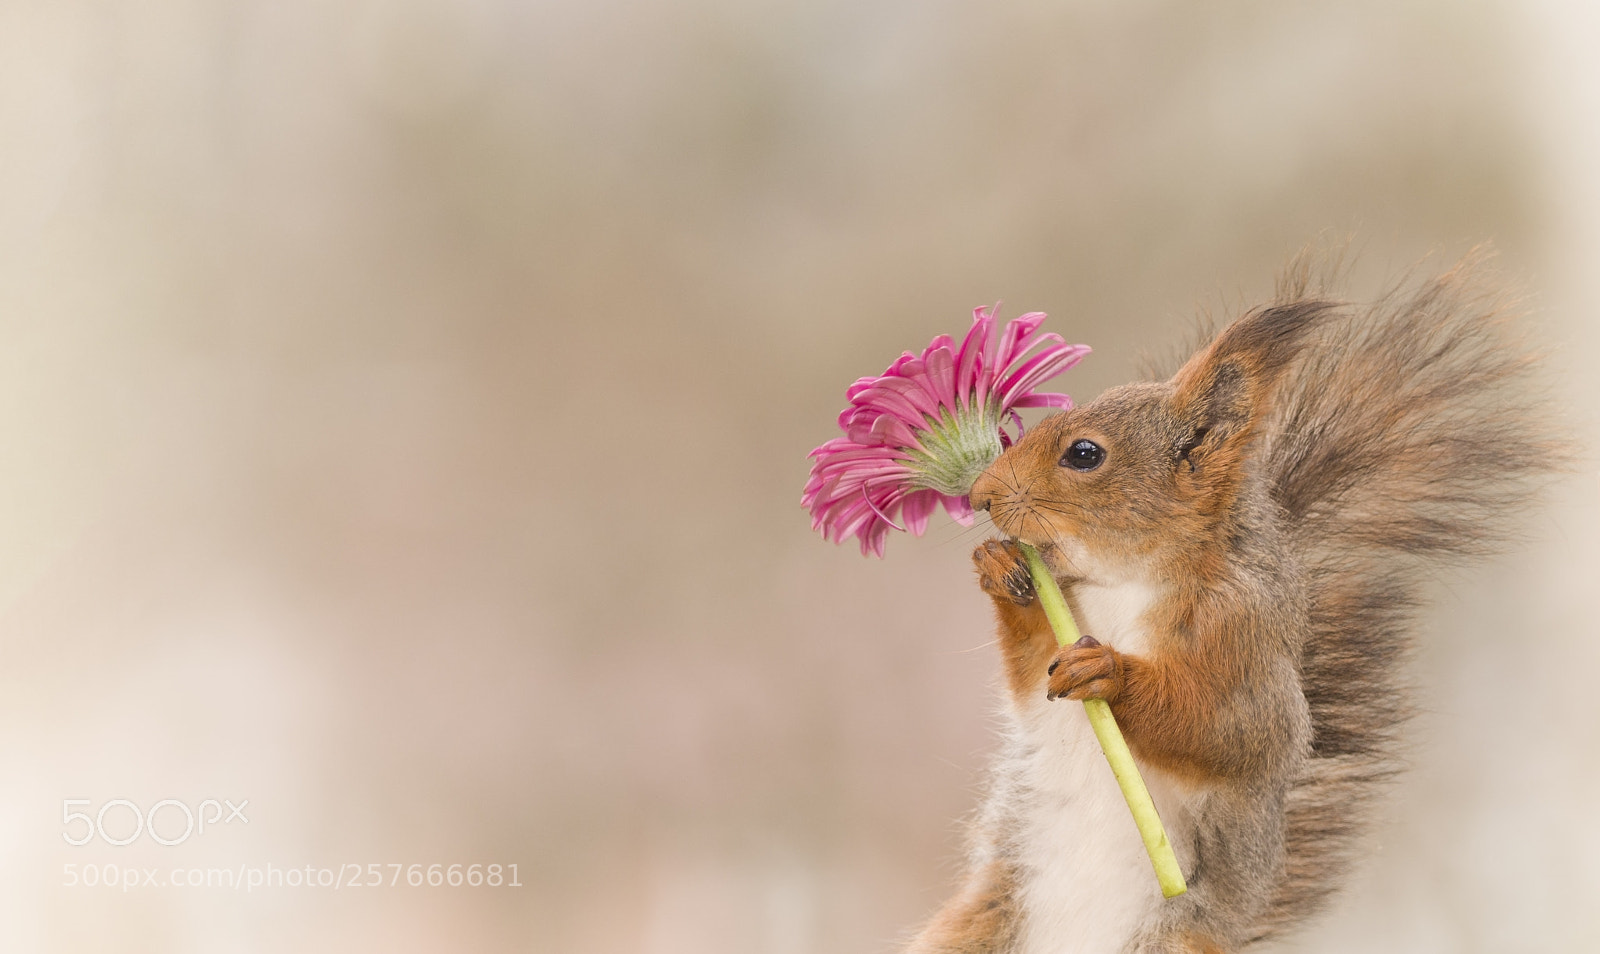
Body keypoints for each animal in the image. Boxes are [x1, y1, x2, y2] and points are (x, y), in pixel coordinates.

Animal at [905, 252, 1563, 954]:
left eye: (1084, 454)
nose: (980, 495)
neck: (1127, 579)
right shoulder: (1064, 623)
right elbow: (1033, 675)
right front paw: (1002, 567)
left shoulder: (1247, 638)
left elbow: (1231, 730)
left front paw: (1110, 672)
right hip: (977, 923)